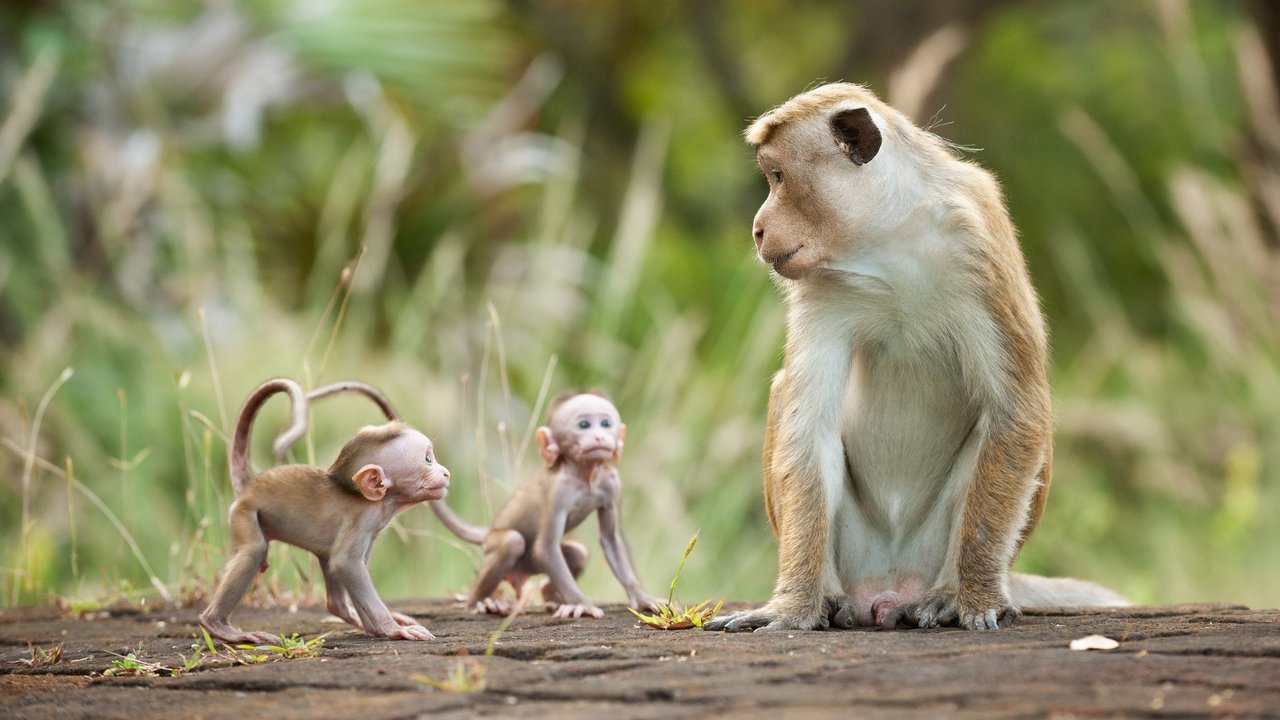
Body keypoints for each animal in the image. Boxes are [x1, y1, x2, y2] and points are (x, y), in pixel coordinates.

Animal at [198, 378, 451, 644]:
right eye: (428, 459)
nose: (446, 473)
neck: (379, 501)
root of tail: (250, 485)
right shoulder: (362, 520)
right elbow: (346, 563)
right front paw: (392, 628)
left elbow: (347, 565)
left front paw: (375, 628)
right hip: (244, 512)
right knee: (255, 550)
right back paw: (219, 626)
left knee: (327, 568)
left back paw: (346, 612)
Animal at [429, 391, 659, 619]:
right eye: (584, 425)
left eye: (606, 423)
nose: (599, 436)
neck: (584, 475)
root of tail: (489, 531)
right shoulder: (558, 492)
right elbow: (546, 547)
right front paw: (581, 604)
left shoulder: (612, 484)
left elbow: (611, 540)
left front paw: (641, 597)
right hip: (493, 546)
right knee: (511, 542)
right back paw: (479, 601)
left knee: (579, 553)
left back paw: (550, 594)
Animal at [705, 83, 1127, 634]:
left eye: (777, 177)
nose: (757, 229)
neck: (888, 241)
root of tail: (888, 587)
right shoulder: (821, 286)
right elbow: (808, 428)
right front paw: (793, 607)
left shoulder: (977, 242)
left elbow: (1017, 410)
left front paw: (975, 597)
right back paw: (831, 596)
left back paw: (949, 592)